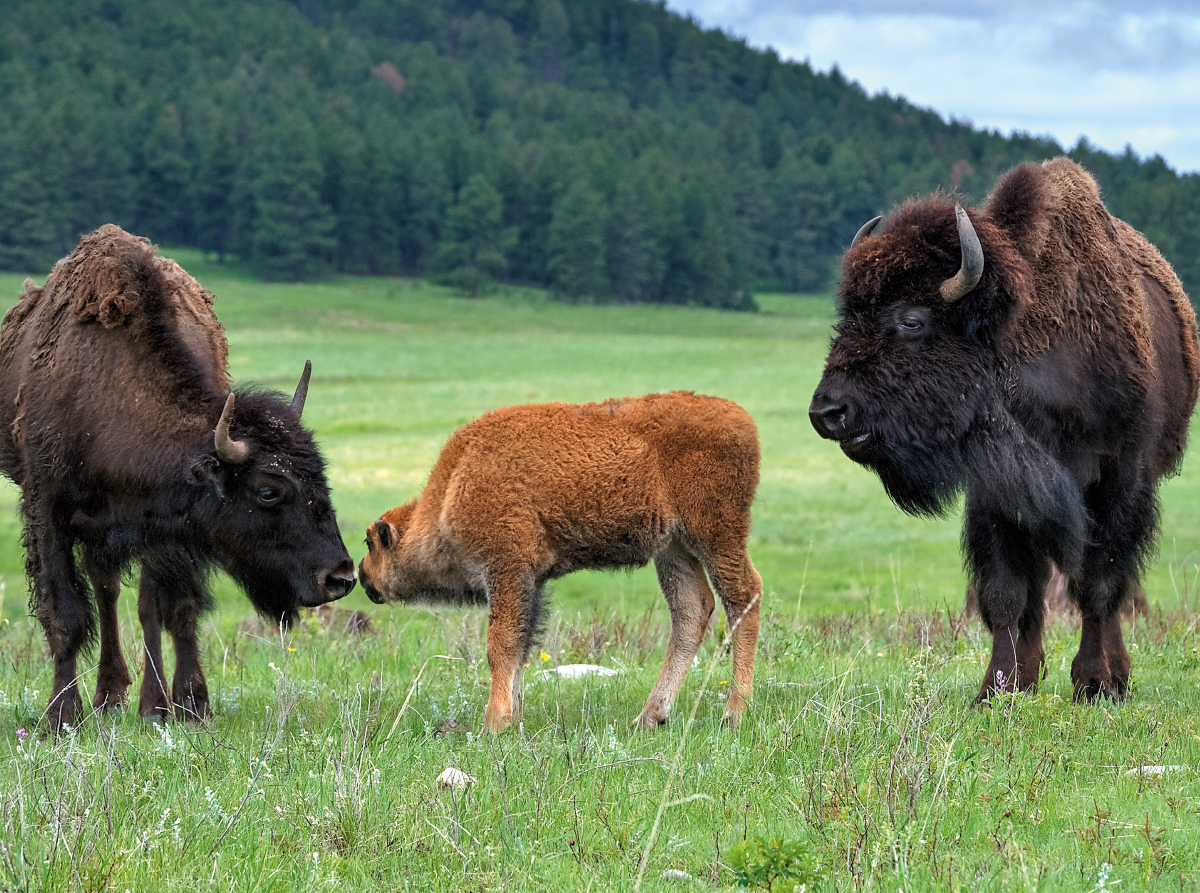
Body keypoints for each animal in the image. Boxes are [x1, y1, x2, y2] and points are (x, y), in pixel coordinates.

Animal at [0, 226, 355, 729]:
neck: (107, 393)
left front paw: (184, 705)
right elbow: (65, 615)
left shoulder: (169, 526)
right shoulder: (48, 511)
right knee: (105, 595)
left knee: (127, 598)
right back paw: (107, 698)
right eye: (268, 491)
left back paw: (129, 699)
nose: (340, 576)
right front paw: (61, 717)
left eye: (321, 477)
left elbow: (170, 609)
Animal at [355, 391, 763, 734]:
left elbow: (500, 646)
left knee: (743, 597)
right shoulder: (530, 583)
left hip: (716, 535)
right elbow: (520, 648)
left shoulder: (507, 569)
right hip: (675, 549)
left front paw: (493, 724)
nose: (362, 576)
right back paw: (650, 717)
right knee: (692, 611)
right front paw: (513, 718)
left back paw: (733, 713)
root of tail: (741, 419)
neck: (453, 487)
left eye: (370, 543)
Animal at [811, 160, 1195, 705]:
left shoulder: (1121, 478)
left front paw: (1096, 682)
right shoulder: (997, 491)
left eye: (911, 320)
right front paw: (999, 688)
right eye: (848, 317)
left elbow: (1099, 581)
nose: (827, 412)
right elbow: (1006, 591)